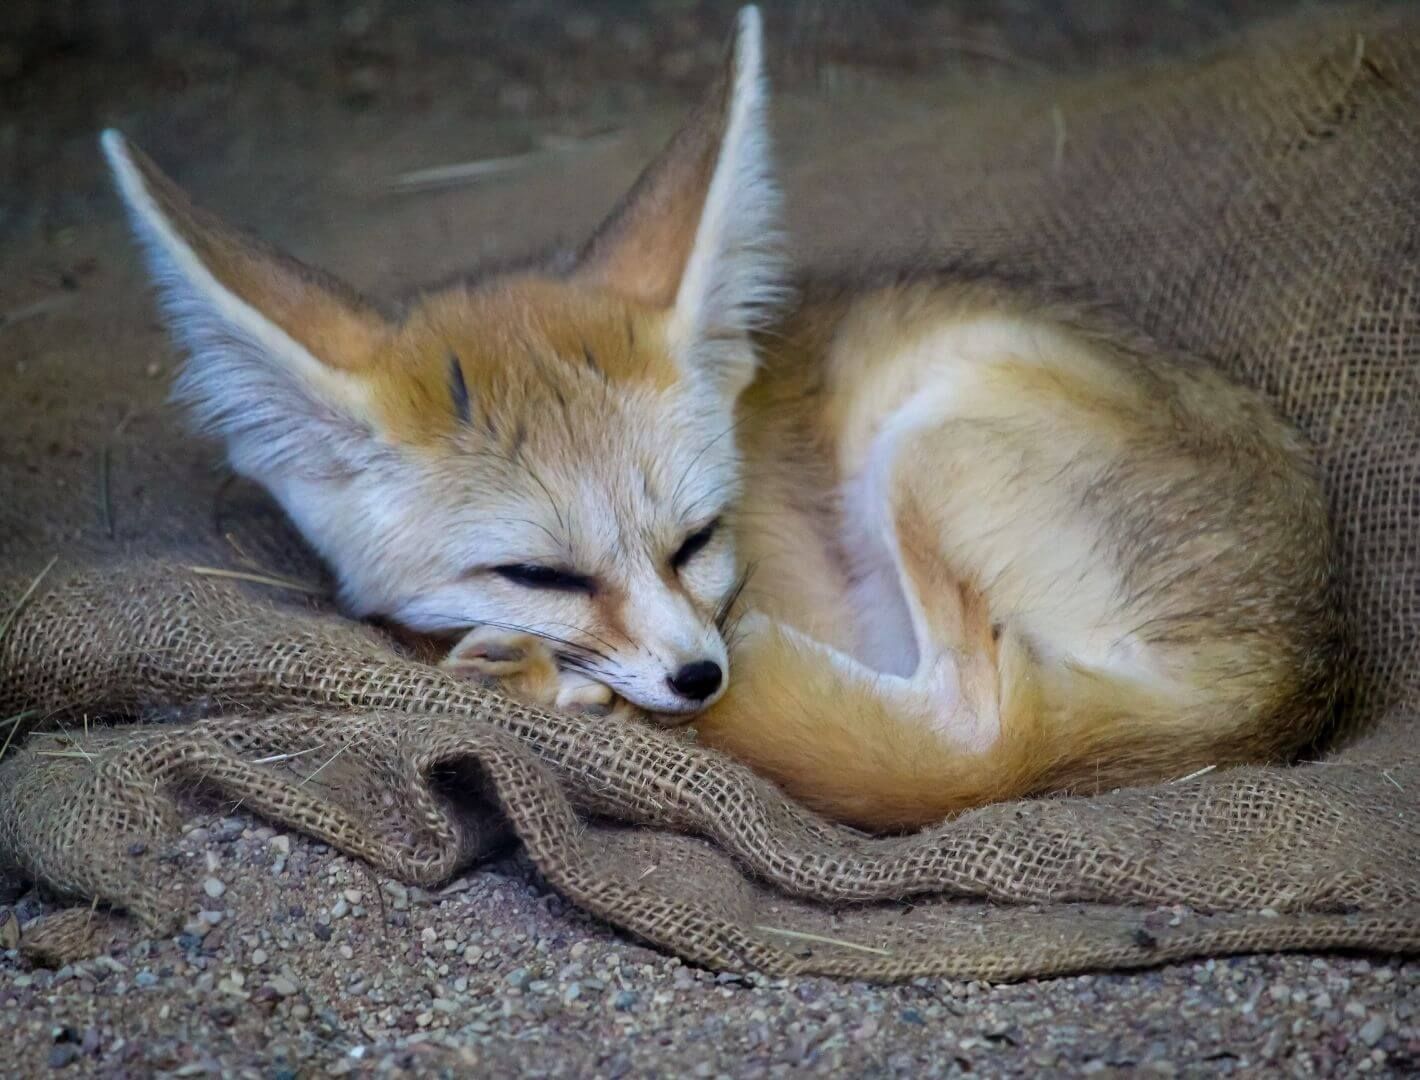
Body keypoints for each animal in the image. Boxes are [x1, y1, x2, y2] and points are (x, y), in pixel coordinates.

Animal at [102, 6, 1344, 831]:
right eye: (540, 573)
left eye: (696, 540)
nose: (701, 677)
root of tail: (1297, 674)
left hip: (922, 435)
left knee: (975, 731)